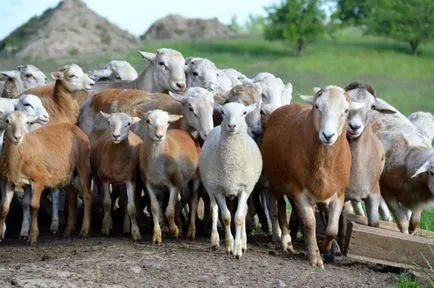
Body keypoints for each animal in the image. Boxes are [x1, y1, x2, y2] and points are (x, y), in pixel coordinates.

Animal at [199, 102, 262, 258]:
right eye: (222, 112)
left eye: (244, 113)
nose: (232, 126)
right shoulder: (219, 189)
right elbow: (226, 217)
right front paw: (229, 245)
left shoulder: (244, 188)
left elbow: (239, 217)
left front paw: (238, 249)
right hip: (210, 185)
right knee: (214, 208)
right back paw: (215, 240)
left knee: (244, 211)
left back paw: (244, 242)